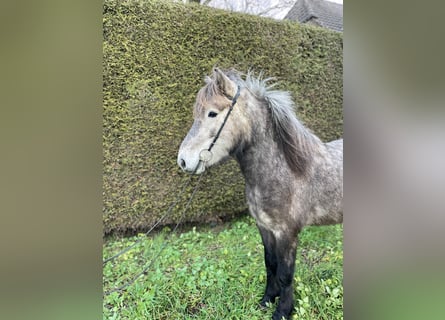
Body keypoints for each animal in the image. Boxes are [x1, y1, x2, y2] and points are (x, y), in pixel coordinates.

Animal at [177, 68, 344, 320]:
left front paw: (283, 310)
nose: (183, 160)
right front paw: (267, 300)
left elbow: (285, 272)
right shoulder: (265, 228)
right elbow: (270, 264)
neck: (284, 170)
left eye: (212, 113)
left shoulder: (286, 233)